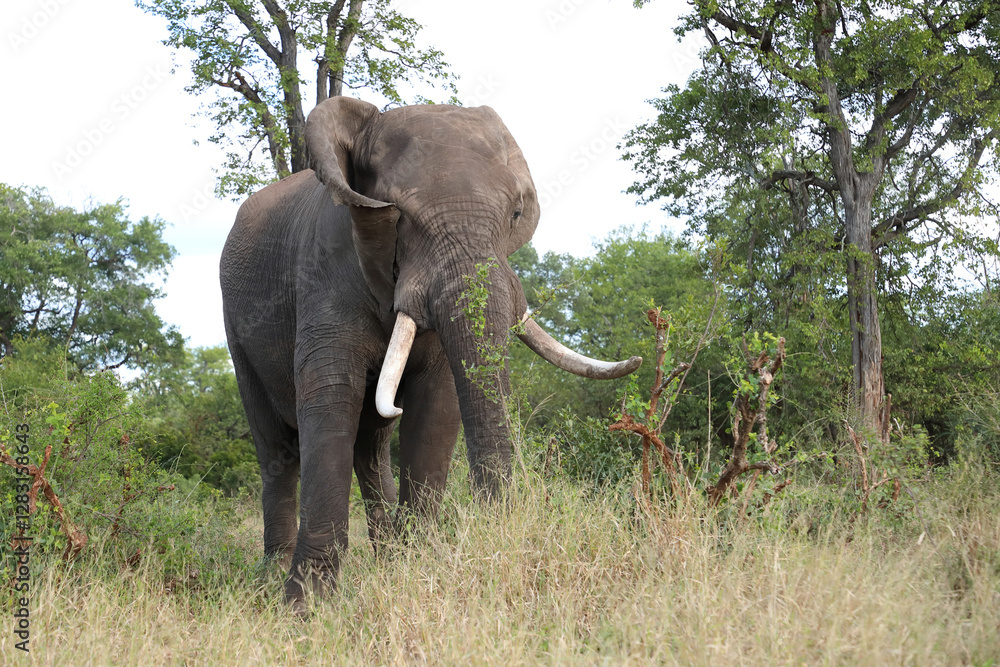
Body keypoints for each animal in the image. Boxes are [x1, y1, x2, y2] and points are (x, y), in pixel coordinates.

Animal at [220, 97, 641, 610]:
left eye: (515, 212)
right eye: (400, 215)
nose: (498, 531)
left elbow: (437, 405)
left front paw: (412, 572)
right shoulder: (323, 268)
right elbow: (329, 395)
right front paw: (307, 608)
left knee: (372, 445)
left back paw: (384, 557)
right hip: (237, 329)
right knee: (277, 450)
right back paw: (270, 580)